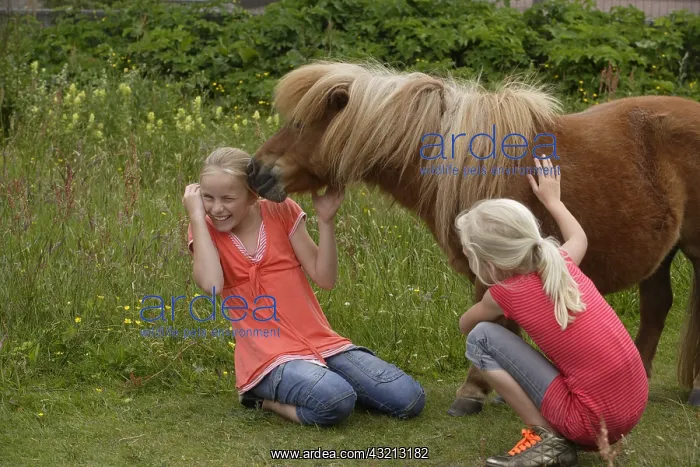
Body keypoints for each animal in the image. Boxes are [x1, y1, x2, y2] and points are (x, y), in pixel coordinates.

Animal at [247, 60, 700, 414]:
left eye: (301, 124)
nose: (255, 170)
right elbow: (506, 326)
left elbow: (489, 322)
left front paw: (473, 391)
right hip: (660, 256)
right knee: (657, 308)